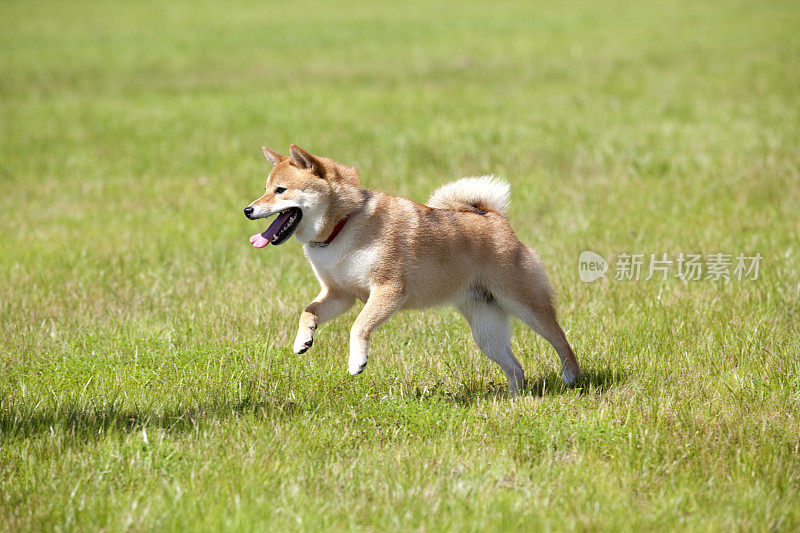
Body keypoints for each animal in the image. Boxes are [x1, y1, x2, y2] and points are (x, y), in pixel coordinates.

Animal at [241, 143, 580, 392]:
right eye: (266, 188)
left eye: (281, 190)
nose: (247, 210)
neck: (344, 225)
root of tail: (494, 217)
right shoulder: (339, 294)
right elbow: (308, 311)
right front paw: (304, 339)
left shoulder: (389, 289)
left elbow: (358, 326)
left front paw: (356, 361)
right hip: (486, 331)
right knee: (515, 368)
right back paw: (514, 398)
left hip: (524, 302)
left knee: (560, 339)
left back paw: (572, 377)